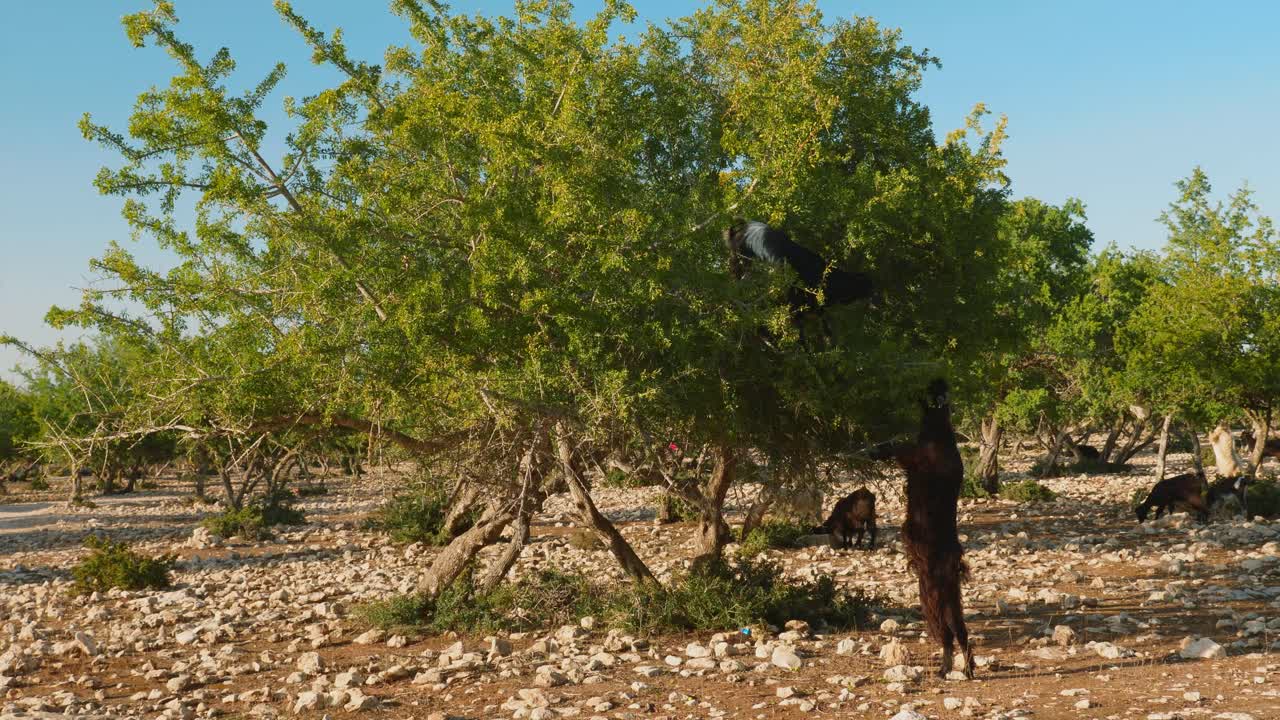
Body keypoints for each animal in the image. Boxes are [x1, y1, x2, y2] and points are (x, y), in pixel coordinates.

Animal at [877, 378, 974, 678]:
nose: (935, 381)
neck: (939, 431)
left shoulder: (912, 456)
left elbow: (896, 447)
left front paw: (877, 450)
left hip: (933, 596)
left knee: (950, 634)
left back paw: (952, 669)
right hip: (945, 597)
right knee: (958, 634)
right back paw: (962, 669)